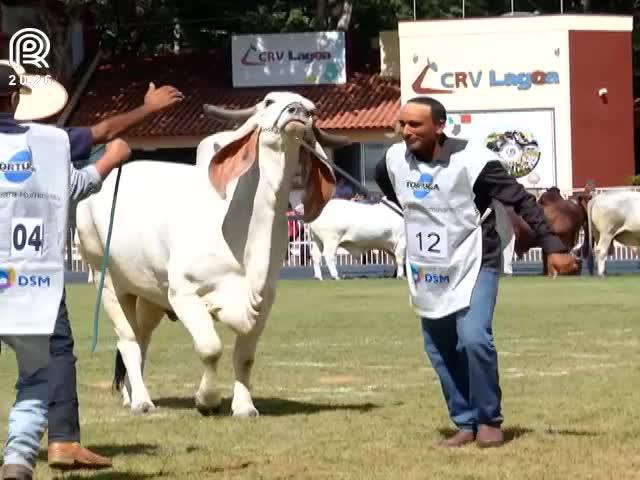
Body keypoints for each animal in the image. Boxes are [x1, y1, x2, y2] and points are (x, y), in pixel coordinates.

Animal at [75, 93, 350, 416]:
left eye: (312, 109)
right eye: (269, 101)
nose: (297, 111)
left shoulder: (263, 302)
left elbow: (244, 358)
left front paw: (244, 407)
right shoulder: (184, 293)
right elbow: (210, 348)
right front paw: (206, 400)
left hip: (150, 294)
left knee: (141, 339)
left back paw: (132, 395)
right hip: (107, 283)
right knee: (128, 341)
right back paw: (142, 401)